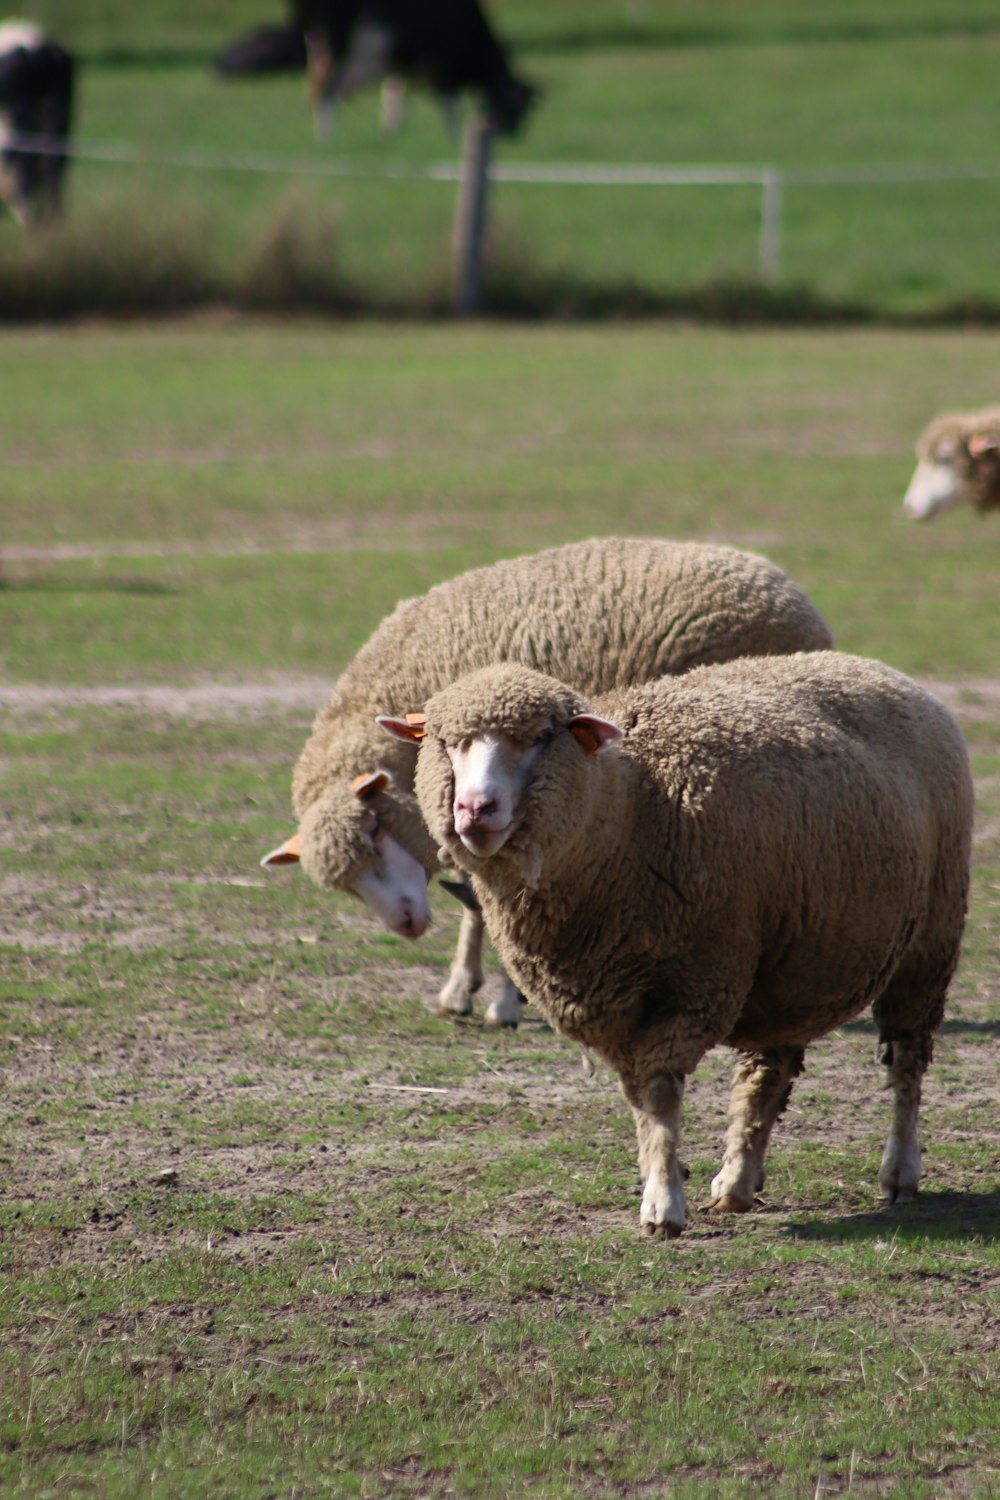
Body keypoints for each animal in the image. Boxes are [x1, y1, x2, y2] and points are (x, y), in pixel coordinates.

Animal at [260, 540, 839, 1032]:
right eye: (344, 884)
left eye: (376, 830)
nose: (406, 925)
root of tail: (794, 599)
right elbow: (476, 900)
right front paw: (461, 987)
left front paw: (505, 999)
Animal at [380, 654, 971, 1230]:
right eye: (444, 741)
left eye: (542, 737)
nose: (475, 809)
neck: (628, 809)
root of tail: (882, 669)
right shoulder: (615, 1004)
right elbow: (640, 1101)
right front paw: (657, 1177)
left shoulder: (693, 984)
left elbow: (660, 1093)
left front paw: (664, 1203)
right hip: (787, 958)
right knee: (770, 1071)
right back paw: (738, 1181)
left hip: (928, 941)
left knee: (907, 1060)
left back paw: (899, 1171)